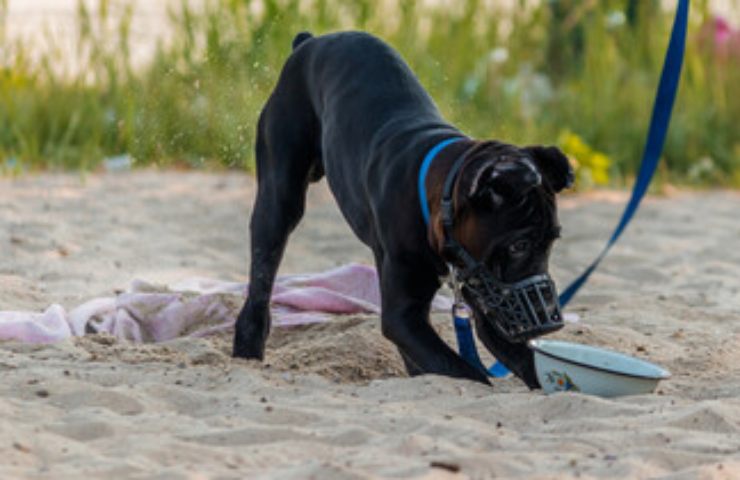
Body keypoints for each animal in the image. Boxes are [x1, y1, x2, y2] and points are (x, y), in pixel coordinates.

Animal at [233, 31, 572, 386]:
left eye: (552, 241)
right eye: (519, 245)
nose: (550, 315)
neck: (438, 195)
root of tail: (310, 41)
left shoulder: (486, 297)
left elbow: (525, 361)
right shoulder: (403, 316)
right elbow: (461, 370)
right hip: (278, 200)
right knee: (261, 281)